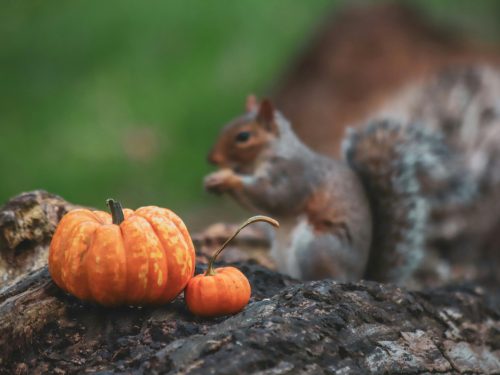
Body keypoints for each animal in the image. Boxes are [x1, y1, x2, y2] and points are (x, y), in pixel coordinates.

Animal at [202, 67, 496, 284]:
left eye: (243, 137)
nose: (211, 159)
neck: (270, 152)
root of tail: (359, 276)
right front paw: (215, 180)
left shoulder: (294, 174)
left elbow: (275, 197)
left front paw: (227, 179)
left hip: (317, 246)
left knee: (322, 276)